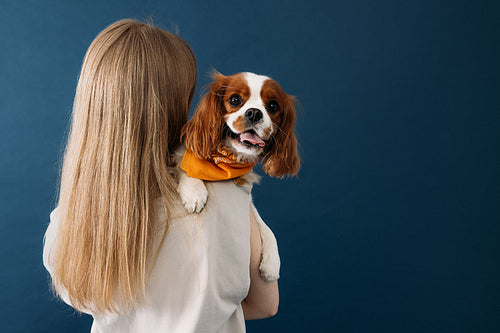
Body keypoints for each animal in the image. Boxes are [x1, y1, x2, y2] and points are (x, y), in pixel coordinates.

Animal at [177, 72, 298, 280]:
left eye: (273, 106)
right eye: (235, 100)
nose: (255, 113)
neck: (227, 160)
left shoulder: (247, 200)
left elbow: (263, 225)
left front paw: (272, 261)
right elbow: (186, 164)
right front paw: (194, 192)